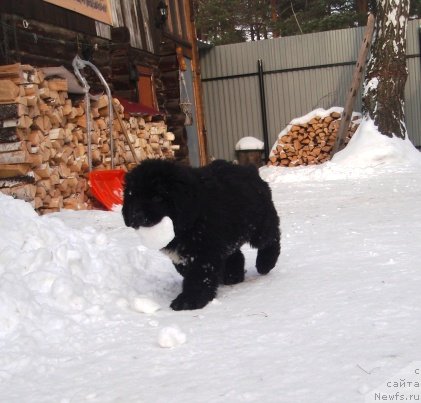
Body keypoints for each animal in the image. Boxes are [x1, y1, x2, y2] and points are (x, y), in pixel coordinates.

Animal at [121, 159, 278, 310]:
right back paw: (233, 275)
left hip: (259, 224)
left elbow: (198, 275)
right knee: (235, 254)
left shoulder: (204, 250)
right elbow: (187, 270)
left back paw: (265, 263)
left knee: (271, 237)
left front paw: (189, 301)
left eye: (157, 197)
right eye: (132, 196)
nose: (136, 216)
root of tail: (250, 170)